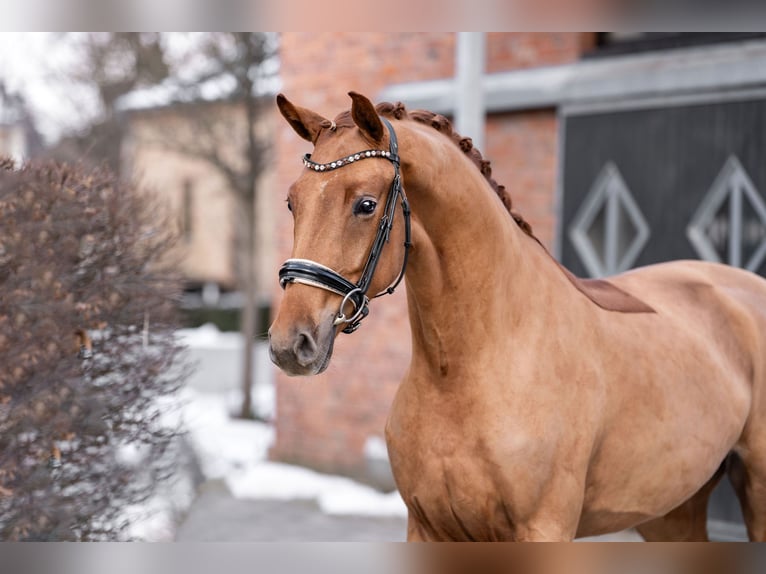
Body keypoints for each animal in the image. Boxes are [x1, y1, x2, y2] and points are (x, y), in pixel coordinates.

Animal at [268, 92, 766, 544]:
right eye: (292, 202)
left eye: (366, 204)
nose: (290, 344)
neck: (464, 370)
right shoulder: (428, 528)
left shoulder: (543, 529)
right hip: (672, 511)